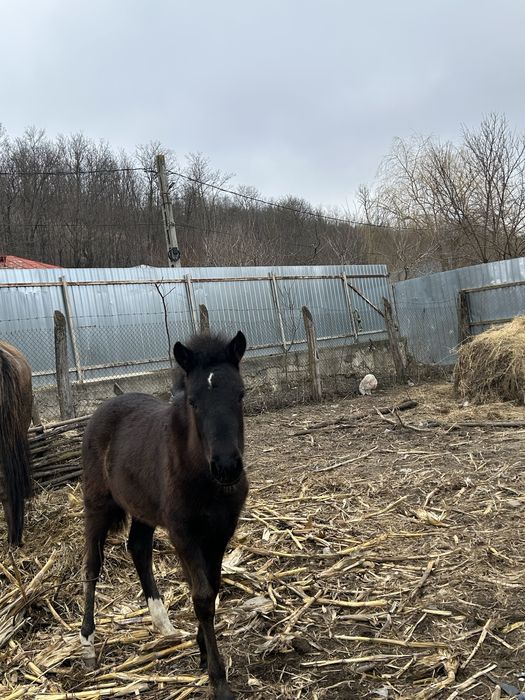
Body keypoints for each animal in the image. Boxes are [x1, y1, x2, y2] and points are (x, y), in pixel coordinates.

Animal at [80, 331, 248, 700]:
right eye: (194, 402)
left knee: (138, 548)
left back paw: (162, 622)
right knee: (93, 564)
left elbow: (212, 587)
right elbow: (202, 596)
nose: (227, 467)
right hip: (97, 504)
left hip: (142, 508)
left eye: (241, 394)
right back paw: (86, 642)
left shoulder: (220, 532)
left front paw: (203, 652)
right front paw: (218, 680)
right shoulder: (183, 533)